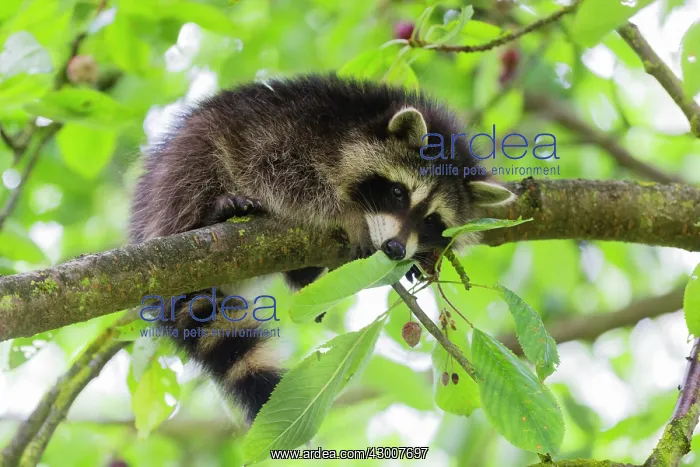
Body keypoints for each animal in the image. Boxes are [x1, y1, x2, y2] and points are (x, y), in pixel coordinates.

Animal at [129, 74, 515, 424]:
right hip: (182, 169)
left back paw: (303, 273)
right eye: (398, 193)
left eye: (432, 221)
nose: (394, 248)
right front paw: (350, 216)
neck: (360, 123)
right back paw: (214, 212)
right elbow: (289, 180)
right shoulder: (289, 138)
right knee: (197, 174)